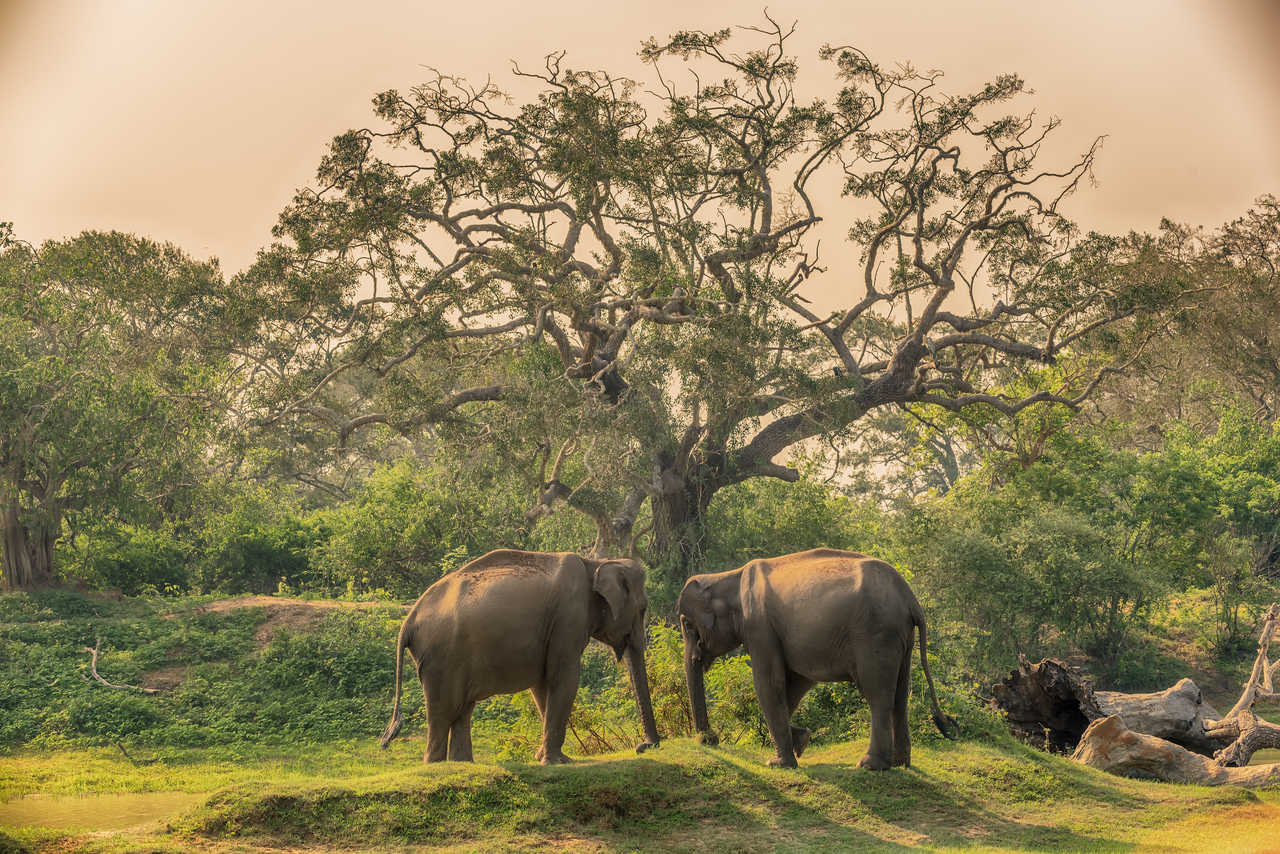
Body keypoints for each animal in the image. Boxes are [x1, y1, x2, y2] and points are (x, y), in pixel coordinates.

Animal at [376, 550, 660, 763]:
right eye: (643, 609)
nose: (643, 746)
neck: (596, 564)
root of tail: (408, 621)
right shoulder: (568, 618)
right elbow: (564, 679)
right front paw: (557, 761)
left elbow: (543, 685)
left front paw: (547, 758)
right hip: (441, 658)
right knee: (443, 713)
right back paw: (438, 766)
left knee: (462, 712)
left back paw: (463, 765)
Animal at [675, 550, 957, 773]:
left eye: (687, 624)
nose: (709, 739)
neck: (728, 576)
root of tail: (911, 599)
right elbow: (796, 682)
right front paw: (801, 741)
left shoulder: (759, 627)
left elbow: (769, 682)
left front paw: (778, 763)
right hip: (902, 637)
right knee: (900, 694)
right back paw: (900, 763)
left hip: (876, 634)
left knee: (878, 694)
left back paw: (870, 765)